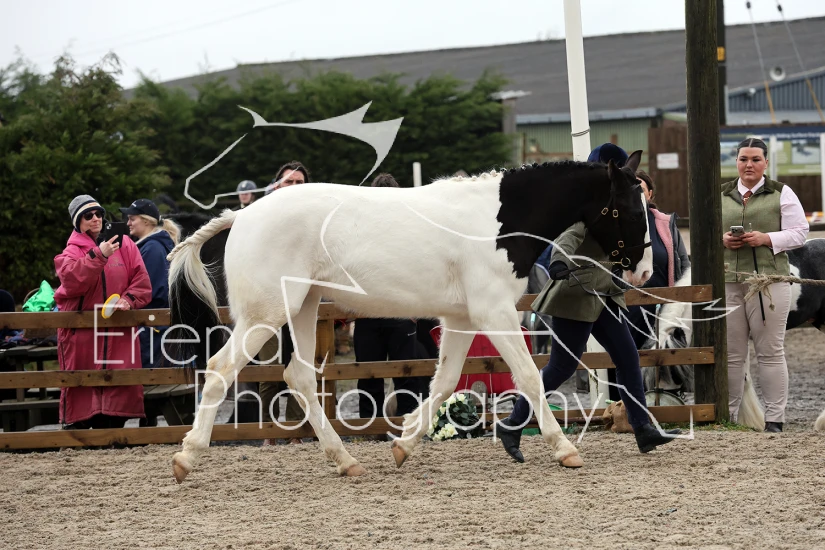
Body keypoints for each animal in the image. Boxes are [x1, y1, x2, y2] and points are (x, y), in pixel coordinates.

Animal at [167, 154, 653, 482]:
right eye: (632, 208)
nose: (644, 272)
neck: (497, 222)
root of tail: (241, 214)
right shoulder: (494, 311)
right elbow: (531, 377)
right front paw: (566, 449)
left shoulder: (461, 318)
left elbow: (445, 382)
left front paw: (403, 444)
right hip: (266, 314)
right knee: (221, 369)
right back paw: (186, 457)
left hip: (303, 308)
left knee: (299, 377)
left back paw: (346, 461)